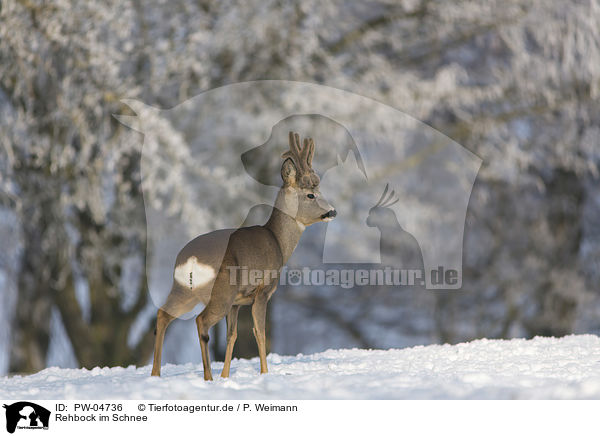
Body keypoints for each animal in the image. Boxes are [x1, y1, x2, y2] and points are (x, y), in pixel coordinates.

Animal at [151, 130, 338, 378]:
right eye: (310, 195)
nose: (332, 211)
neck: (278, 241)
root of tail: (190, 260)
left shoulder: (237, 303)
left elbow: (232, 336)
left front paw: (226, 376)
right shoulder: (263, 290)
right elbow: (260, 332)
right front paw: (264, 373)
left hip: (183, 289)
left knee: (162, 314)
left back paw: (156, 374)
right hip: (221, 291)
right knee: (201, 321)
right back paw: (207, 377)